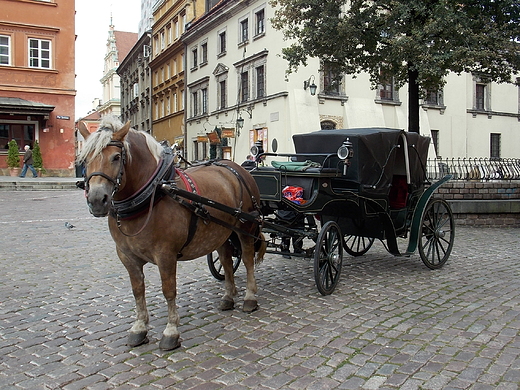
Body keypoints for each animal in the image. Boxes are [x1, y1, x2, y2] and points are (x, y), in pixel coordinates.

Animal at [78, 116, 264, 350]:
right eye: (85, 160)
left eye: (116, 157)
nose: (96, 200)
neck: (153, 193)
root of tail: (234, 167)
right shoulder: (127, 256)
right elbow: (137, 290)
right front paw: (139, 327)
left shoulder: (165, 255)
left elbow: (169, 290)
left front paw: (171, 331)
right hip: (221, 231)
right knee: (227, 260)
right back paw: (228, 297)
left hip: (246, 227)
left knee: (247, 260)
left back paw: (250, 298)